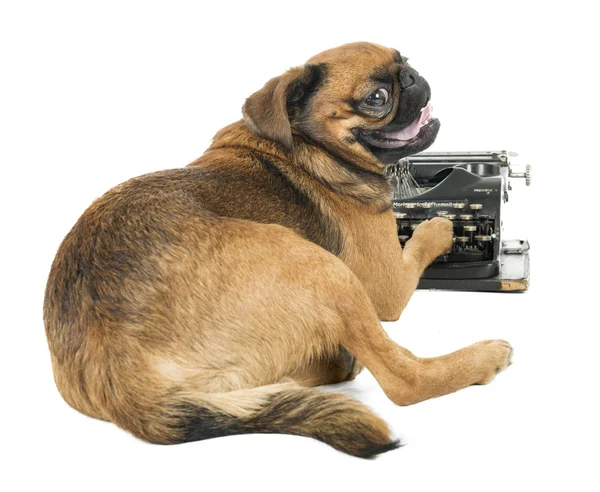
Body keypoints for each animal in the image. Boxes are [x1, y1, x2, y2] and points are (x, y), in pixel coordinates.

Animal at [43, 42, 510, 458]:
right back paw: (484, 356)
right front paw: (438, 227)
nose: (411, 77)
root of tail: (122, 378)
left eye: (405, 62)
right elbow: (417, 247)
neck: (310, 146)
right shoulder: (388, 288)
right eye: (376, 98)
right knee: (404, 379)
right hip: (322, 268)